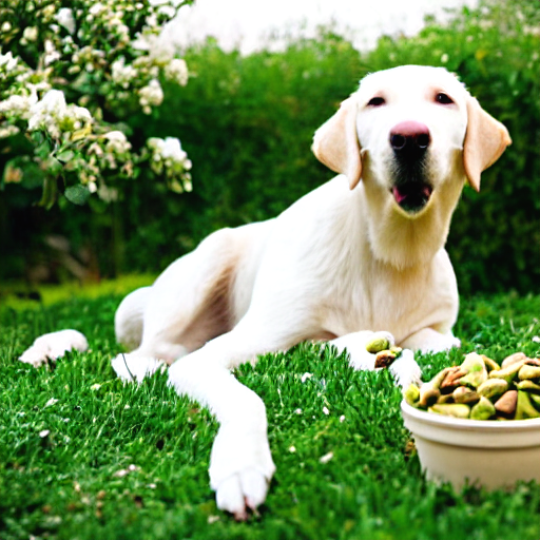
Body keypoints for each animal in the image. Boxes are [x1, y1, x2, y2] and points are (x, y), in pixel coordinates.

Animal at [20, 65, 510, 520]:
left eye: (443, 99)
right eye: (376, 102)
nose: (409, 138)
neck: (389, 252)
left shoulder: (439, 330)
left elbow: (428, 344)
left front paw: (380, 355)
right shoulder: (216, 356)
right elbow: (245, 398)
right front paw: (241, 466)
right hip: (208, 261)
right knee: (138, 358)